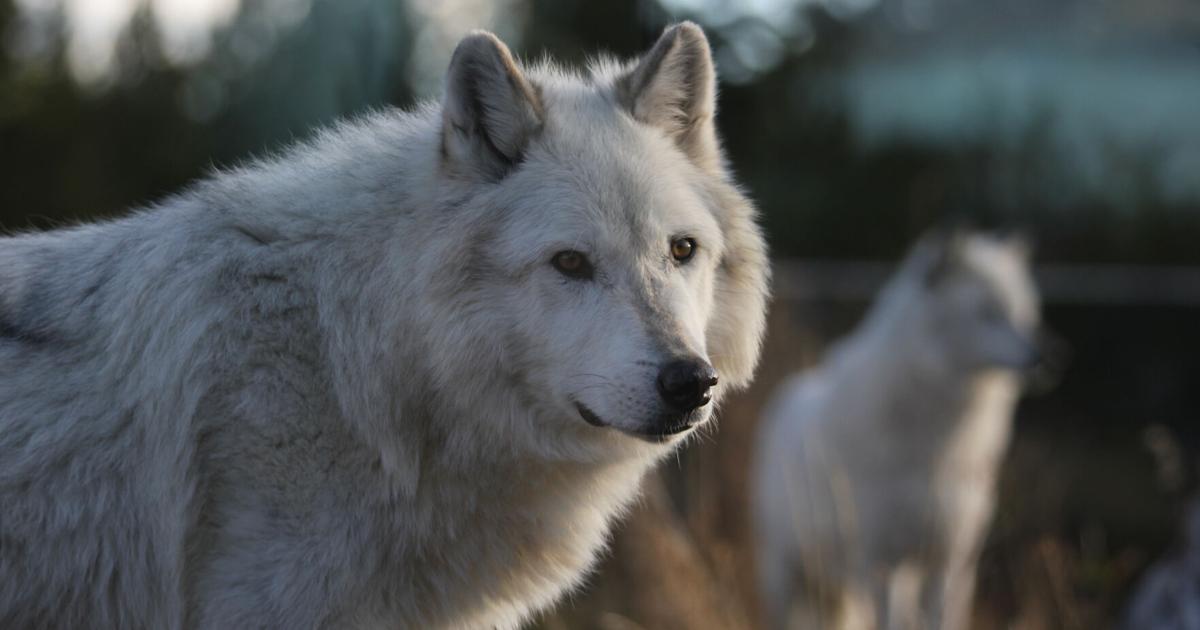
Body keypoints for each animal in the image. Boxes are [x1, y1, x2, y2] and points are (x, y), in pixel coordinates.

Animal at [752, 231, 1040, 630]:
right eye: (986, 313)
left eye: (1021, 314)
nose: (1046, 355)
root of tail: (791, 391)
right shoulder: (882, 563)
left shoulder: (946, 561)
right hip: (789, 575)